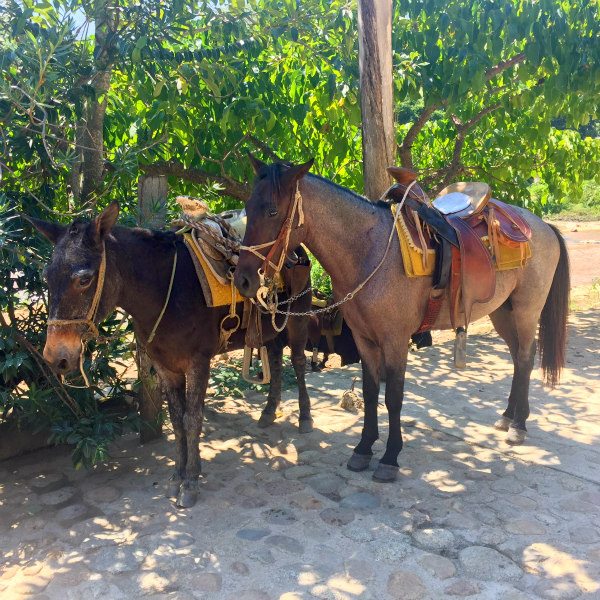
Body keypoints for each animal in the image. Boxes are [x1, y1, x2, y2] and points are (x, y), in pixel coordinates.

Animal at [27, 204, 314, 508]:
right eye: (47, 277)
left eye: (84, 279)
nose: (55, 357)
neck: (167, 288)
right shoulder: (165, 367)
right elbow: (177, 421)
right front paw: (177, 476)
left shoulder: (198, 363)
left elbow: (192, 419)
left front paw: (191, 482)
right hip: (270, 326)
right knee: (275, 356)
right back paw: (269, 412)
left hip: (298, 318)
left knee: (297, 361)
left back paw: (305, 418)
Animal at [233, 158, 568, 482]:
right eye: (248, 207)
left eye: (273, 210)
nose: (243, 280)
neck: (368, 251)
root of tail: (542, 225)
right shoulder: (364, 339)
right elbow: (370, 393)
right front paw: (363, 448)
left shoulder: (395, 340)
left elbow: (393, 397)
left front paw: (389, 458)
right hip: (502, 312)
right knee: (519, 358)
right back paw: (508, 417)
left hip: (526, 311)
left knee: (525, 357)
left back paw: (518, 426)